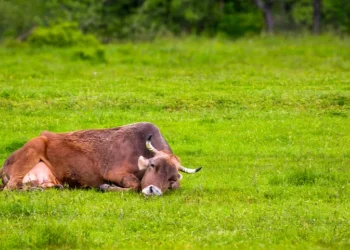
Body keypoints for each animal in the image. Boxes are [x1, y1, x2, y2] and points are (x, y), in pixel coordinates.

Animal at [0, 122, 201, 195]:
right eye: (152, 165)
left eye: (172, 178)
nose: (154, 190)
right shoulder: (115, 172)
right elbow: (135, 184)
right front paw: (105, 187)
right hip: (34, 148)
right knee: (11, 188)